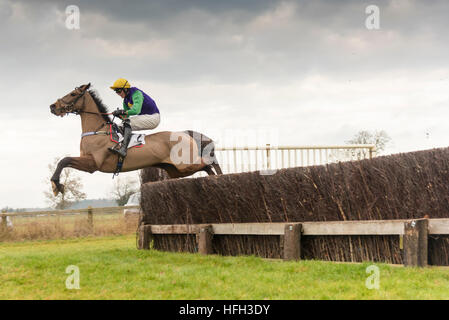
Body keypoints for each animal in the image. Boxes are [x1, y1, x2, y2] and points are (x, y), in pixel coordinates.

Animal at [48, 82, 221, 196]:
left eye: (73, 94)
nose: (52, 106)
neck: (97, 131)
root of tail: (185, 133)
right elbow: (64, 161)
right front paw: (56, 185)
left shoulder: (93, 163)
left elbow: (64, 160)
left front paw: (56, 185)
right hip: (176, 170)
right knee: (206, 167)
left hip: (185, 164)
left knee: (208, 164)